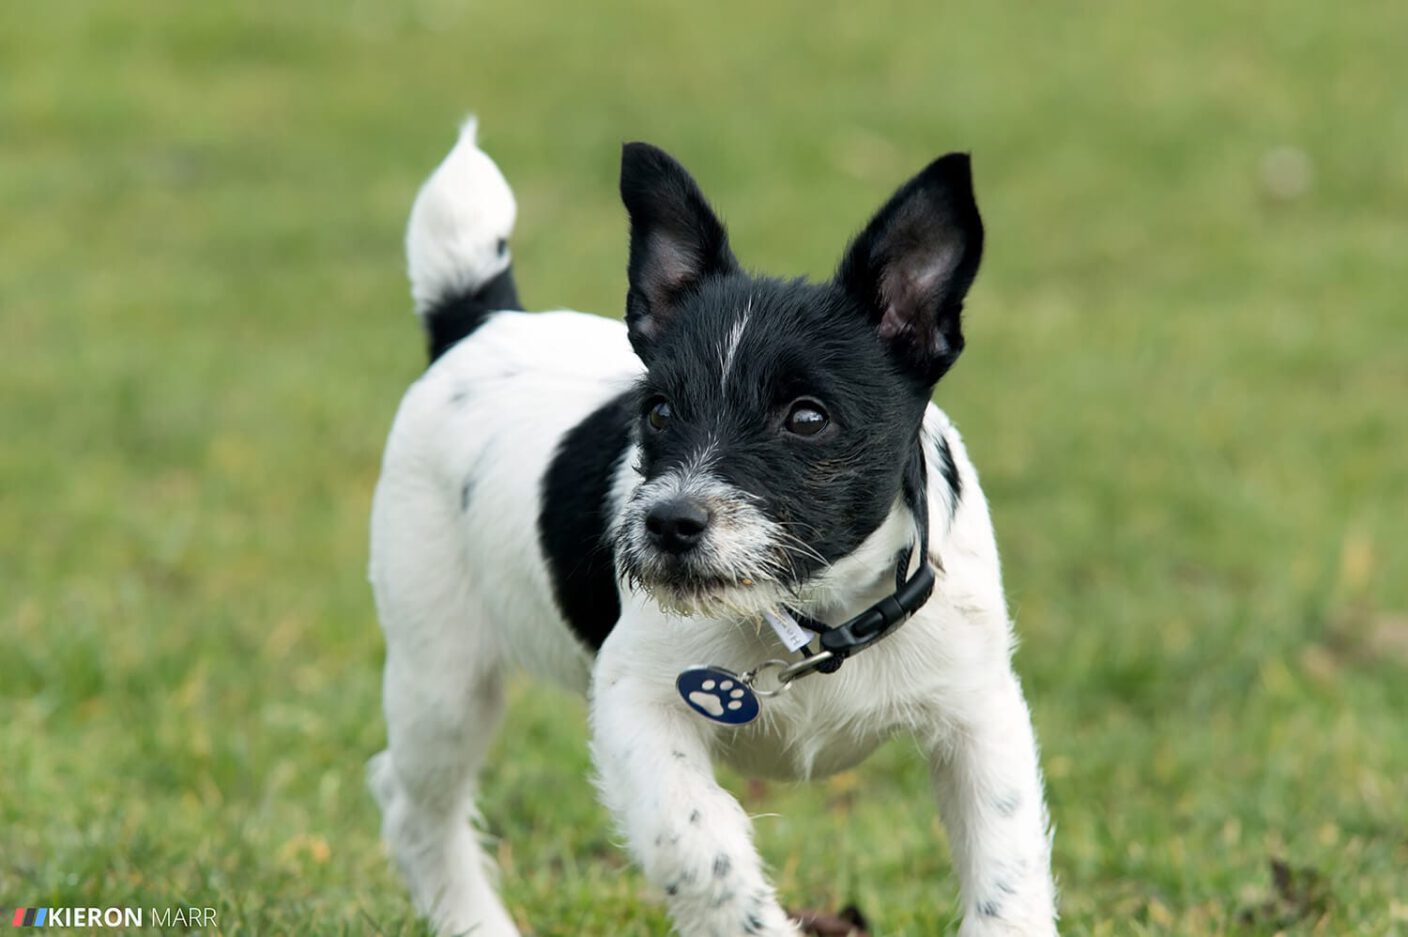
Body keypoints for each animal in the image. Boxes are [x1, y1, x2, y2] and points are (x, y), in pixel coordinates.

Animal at [366, 120, 1058, 929]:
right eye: (659, 411)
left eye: (807, 418)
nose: (670, 522)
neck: (817, 613)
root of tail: (478, 321)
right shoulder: (634, 707)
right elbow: (700, 847)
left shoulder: (980, 717)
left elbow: (1006, 875)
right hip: (441, 677)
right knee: (414, 808)